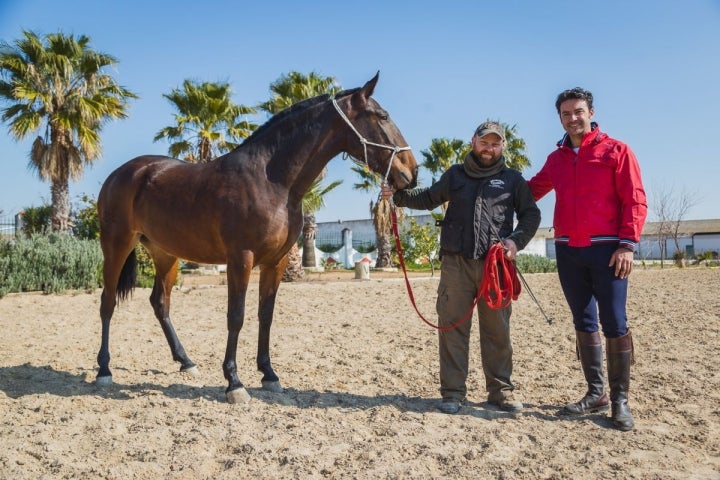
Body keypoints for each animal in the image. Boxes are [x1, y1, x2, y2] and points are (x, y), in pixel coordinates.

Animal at [98, 73, 420, 404]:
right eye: (382, 116)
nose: (412, 171)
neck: (270, 181)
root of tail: (123, 174)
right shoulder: (241, 259)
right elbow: (236, 316)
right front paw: (234, 382)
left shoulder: (275, 262)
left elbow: (265, 315)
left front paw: (269, 374)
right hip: (116, 245)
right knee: (107, 302)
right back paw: (104, 370)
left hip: (166, 254)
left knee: (160, 302)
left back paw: (186, 362)